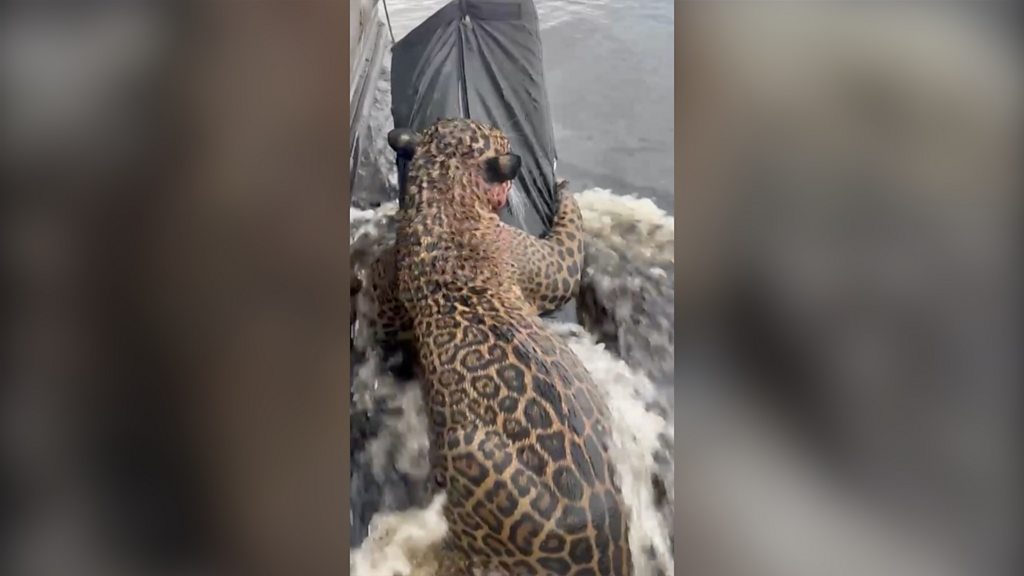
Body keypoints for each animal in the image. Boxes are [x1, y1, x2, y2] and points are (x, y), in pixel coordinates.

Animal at [364, 117, 632, 575]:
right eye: (500, 138)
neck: (441, 195)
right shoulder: (543, 262)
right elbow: (569, 252)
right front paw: (565, 190)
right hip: (467, 451)